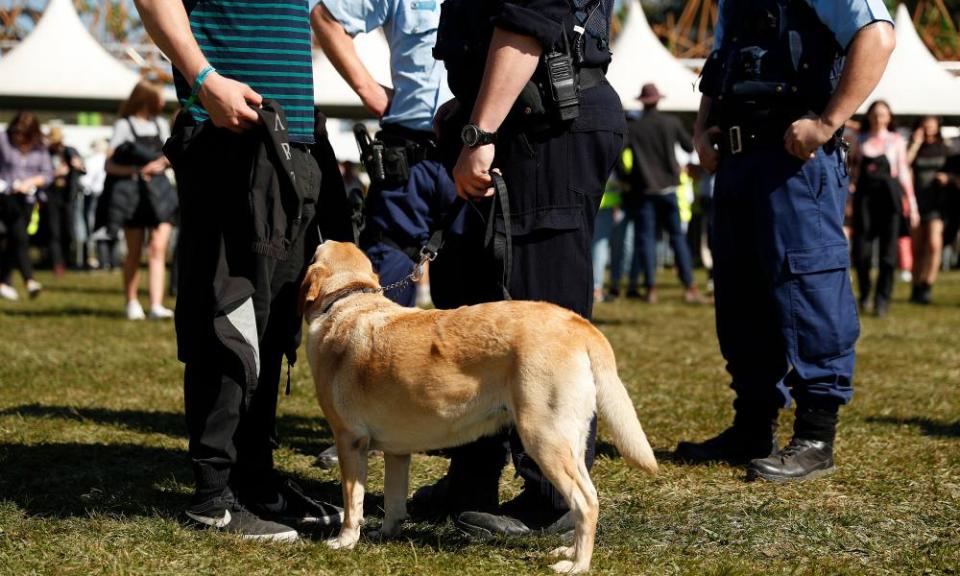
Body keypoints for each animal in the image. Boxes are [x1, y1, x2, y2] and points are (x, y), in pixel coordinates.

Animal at [302, 240, 660, 572]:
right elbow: (393, 501)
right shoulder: (397, 451)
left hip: (543, 438)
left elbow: (352, 502)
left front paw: (345, 541)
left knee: (586, 502)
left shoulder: (350, 440)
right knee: (585, 499)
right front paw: (385, 534)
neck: (348, 301)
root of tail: (578, 323)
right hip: (568, 440)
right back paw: (568, 551)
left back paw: (577, 565)